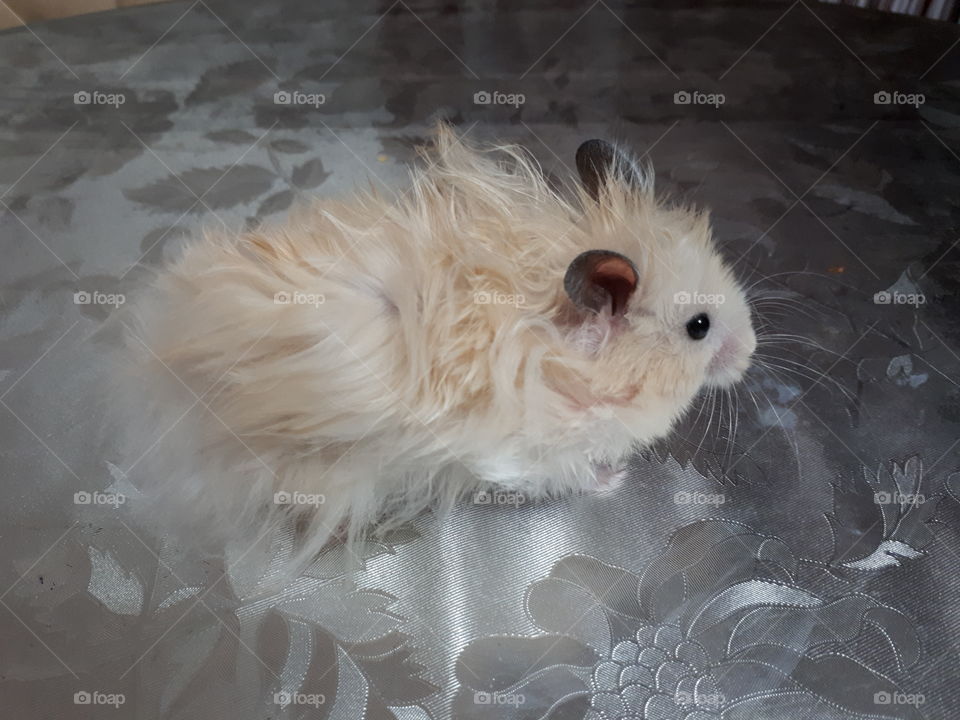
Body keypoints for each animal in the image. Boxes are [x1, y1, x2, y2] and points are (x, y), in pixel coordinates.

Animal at [122, 124, 755, 562]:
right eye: (699, 326)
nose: (750, 354)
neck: (561, 354)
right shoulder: (524, 452)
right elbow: (572, 473)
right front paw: (615, 478)